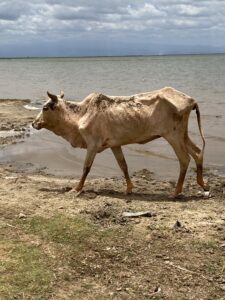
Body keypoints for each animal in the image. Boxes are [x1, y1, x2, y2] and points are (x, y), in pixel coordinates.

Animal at [32, 86, 209, 197]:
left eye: (45, 108)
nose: (34, 123)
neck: (80, 114)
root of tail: (191, 100)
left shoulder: (92, 145)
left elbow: (86, 168)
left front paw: (76, 189)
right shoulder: (115, 145)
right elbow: (123, 166)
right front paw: (129, 189)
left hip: (173, 135)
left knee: (184, 159)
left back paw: (177, 192)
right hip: (182, 135)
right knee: (197, 152)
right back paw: (203, 184)